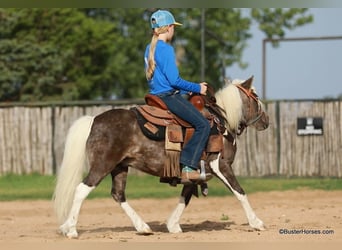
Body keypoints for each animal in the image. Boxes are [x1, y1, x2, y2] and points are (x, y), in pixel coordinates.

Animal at [53, 76, 268, 238]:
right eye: (256, 96)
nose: (266, 122)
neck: (221, 122)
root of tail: (94, 120)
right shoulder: (220, 165)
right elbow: (239, 192)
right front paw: (256, 222)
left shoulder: (193, 171)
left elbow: (185, 197)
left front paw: (173, 225)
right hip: (103, 164)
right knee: (82, 189)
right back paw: (71, 229)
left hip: (120, 167)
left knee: (118, 194)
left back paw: (141, 227)